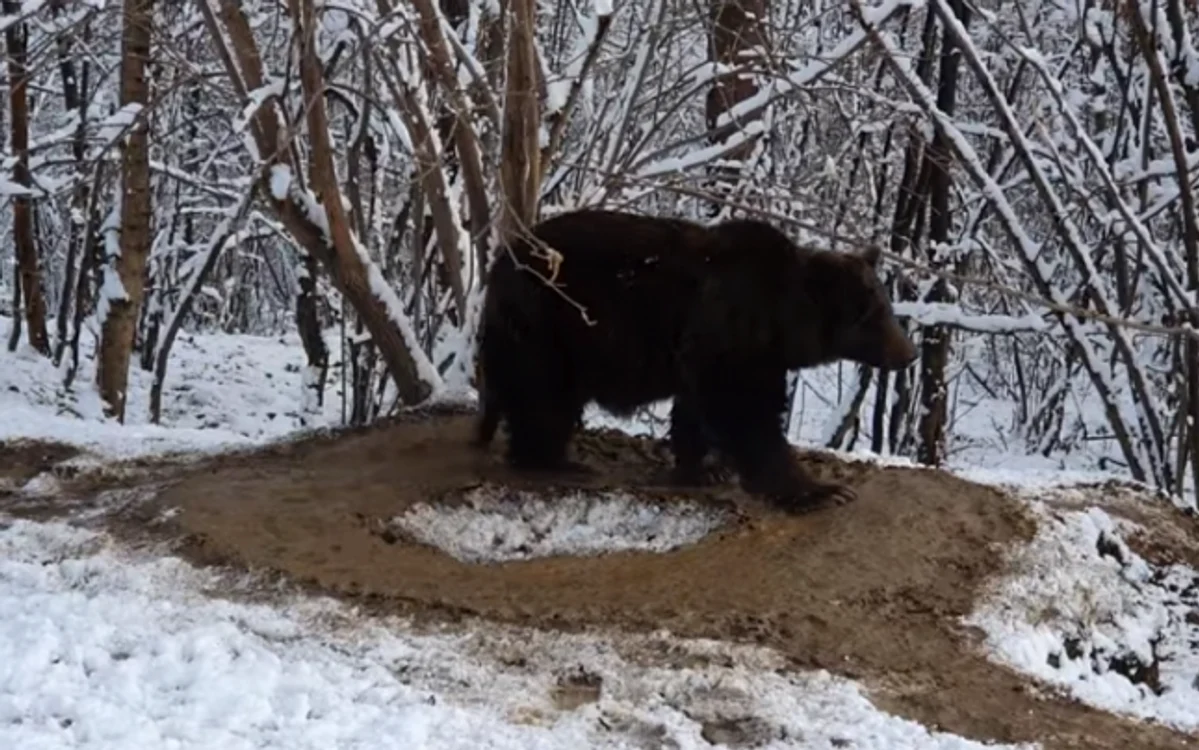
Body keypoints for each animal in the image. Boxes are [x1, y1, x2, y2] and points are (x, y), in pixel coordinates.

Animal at [472, 208, 916, 513]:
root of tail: (497, 266)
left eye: (886, 307)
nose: (909, 353)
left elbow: (695, 407)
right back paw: (554, 460)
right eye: (874, 315)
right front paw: (822, 490)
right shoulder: (734, 333)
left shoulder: (705, 349)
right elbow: (746, 410)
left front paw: (702, 466)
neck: (784, 322)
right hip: (549, 326)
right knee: (544, 397)